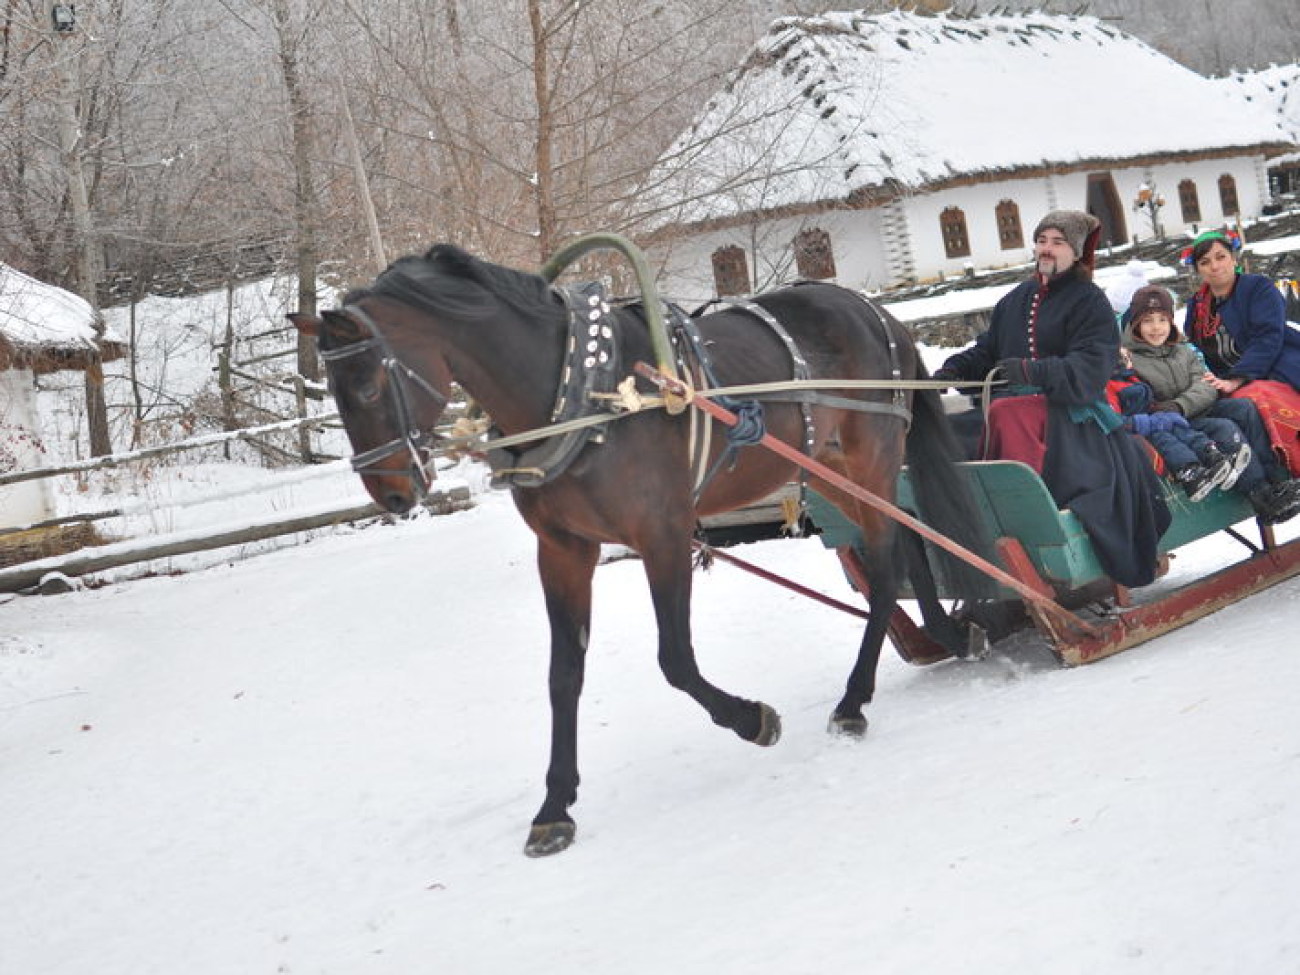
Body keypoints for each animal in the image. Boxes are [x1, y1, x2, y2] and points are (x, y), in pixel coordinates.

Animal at [289, 243, 987, 852]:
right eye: (333, 394)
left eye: (369, 386)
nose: (390, 493)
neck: (577, 391)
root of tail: (874, 311)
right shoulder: (563, 551)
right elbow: (563, 675)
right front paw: (555, 807)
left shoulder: (664, 534)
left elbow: (675, 659)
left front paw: (753, 719)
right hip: (836, 472)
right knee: (901, 545)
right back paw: (943, 636)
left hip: (871, 457)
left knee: (889, 558)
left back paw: (858, 696)